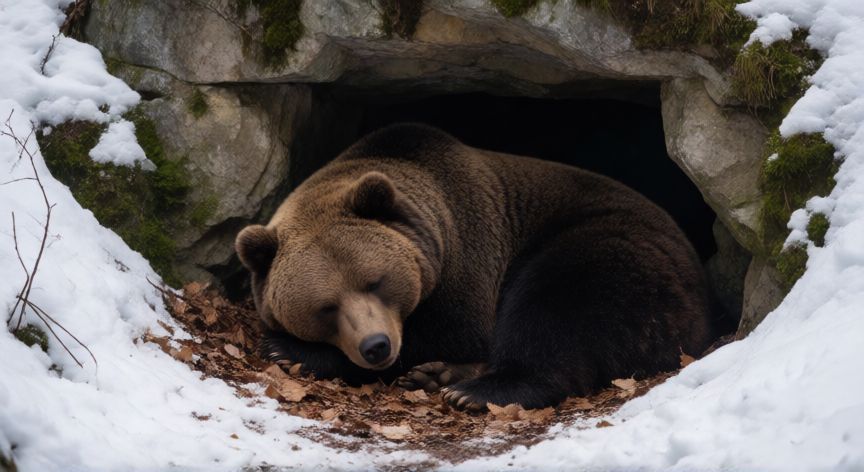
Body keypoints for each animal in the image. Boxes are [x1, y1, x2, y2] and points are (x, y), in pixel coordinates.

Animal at [235, 123, 713, 411]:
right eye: (326, 306)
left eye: (376, 281)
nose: (376, 346)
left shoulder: (468, 254)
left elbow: (456, 328)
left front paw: (287, 348)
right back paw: (443, 375)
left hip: (612, 248)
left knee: (557, 304)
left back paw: (475, 389)